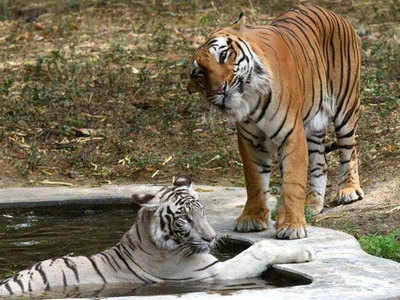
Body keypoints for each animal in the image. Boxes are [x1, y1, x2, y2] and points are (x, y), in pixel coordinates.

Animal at [0, 175, 312, 296]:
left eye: (202, 211)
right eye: (184, 219)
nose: (211, 238)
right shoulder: (214, 273)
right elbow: (258, 250)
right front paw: (305, 251)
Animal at [188, 4, 362, 239]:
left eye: (223, 55)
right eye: (199, 73)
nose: (218, 90)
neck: (249, 99)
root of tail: (332, 13)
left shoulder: (291, 134)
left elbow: (292, 182)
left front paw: (291, 226)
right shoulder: (249, 140)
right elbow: (255, 181)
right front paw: (252, 218)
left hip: (345, 106)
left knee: (349, 149)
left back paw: (349, 190)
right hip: (314, 125)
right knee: (320, 164)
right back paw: (313, 204)